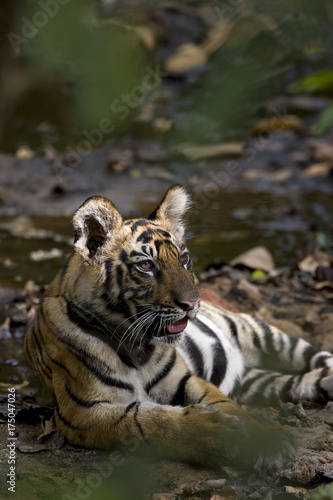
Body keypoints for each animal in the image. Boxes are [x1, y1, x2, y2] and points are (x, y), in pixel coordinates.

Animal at [24, 186, 332, 470]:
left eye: (183, 259)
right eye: (146, 265)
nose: (192, 303)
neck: (137, 347)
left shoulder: (186, 380)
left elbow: (228, 405)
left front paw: (264, 439)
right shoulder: (85, 412)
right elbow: (152, 422)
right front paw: (217, 433)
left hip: (264, 335)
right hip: (258, 381)